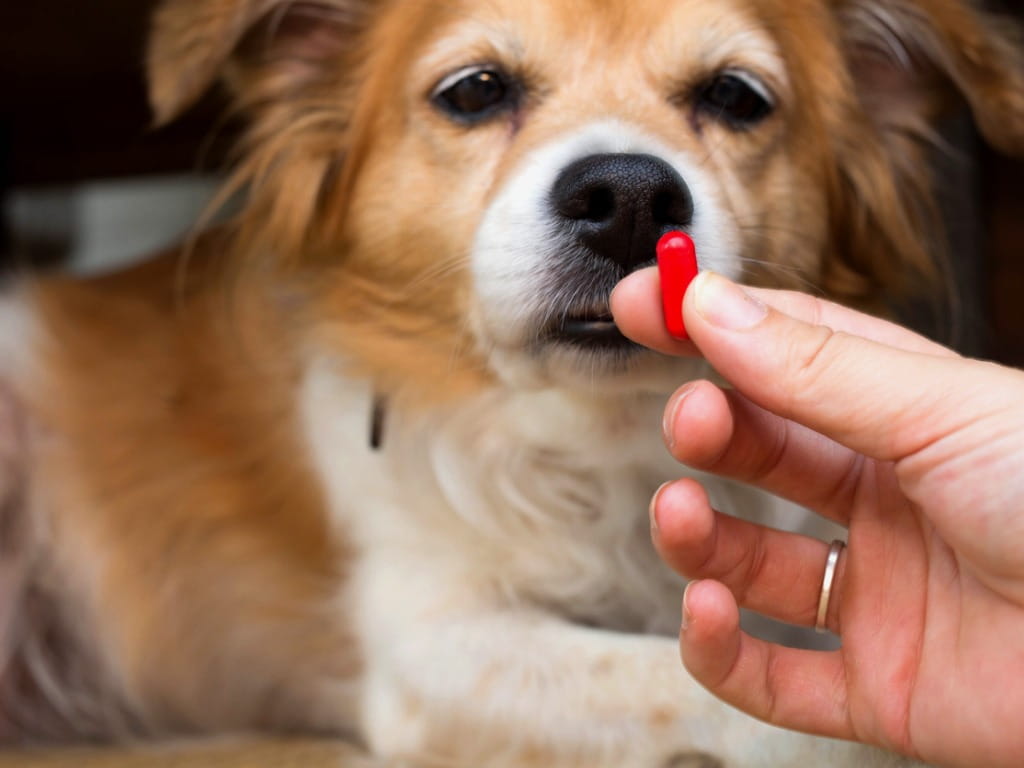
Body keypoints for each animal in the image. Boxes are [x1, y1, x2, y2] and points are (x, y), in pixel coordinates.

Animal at [2, 0, 1024, 765]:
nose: (629, 196)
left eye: (737, 97)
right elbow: (692, 685)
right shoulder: (433, 647)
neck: (599, 431)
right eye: (476, 91)